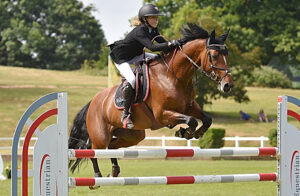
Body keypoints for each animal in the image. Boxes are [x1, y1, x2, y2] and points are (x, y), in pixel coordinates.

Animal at [68, 22, 234, 187]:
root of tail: (93, 101)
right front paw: (185, 132)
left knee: (112, 146)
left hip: (133, 135)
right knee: (93, 149)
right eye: (214, 55)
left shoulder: (189, 107)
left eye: (227, 55)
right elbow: (191, 120)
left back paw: (114, 172)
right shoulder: (163, 114)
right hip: (100, 136)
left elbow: (206, 119)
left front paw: (194, 133)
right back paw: (96, 178)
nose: (227, 85)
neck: (173, 76)